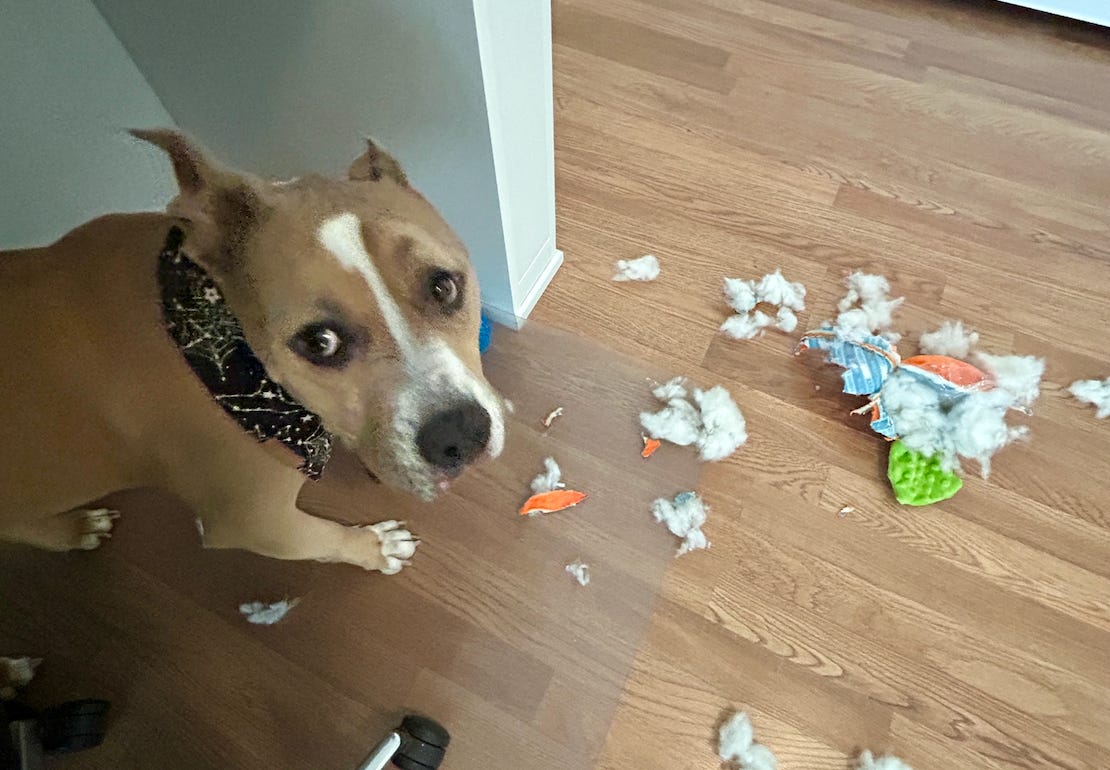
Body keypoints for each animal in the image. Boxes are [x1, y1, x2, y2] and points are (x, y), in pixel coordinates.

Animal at [0, 131, 508, 572]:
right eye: (319, 342)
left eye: (443, 286)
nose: (461, 433)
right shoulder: (257, 523)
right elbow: (325, 537)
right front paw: (375, 549)